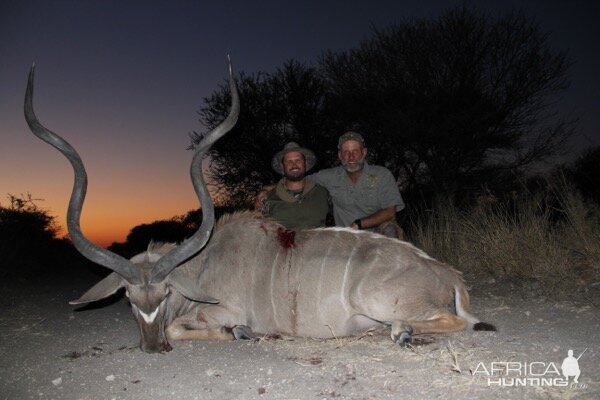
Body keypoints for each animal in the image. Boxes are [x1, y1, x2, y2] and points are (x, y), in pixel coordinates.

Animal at [24, 61, 492, 352]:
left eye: (167, 291)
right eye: (126, 297)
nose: (153, 348)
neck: (204, 266)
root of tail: (449, 275)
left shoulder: (222, 309)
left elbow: (191, 324)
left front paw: (240, 333)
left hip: (377, 302)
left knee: (460, 322)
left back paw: (402, 332)